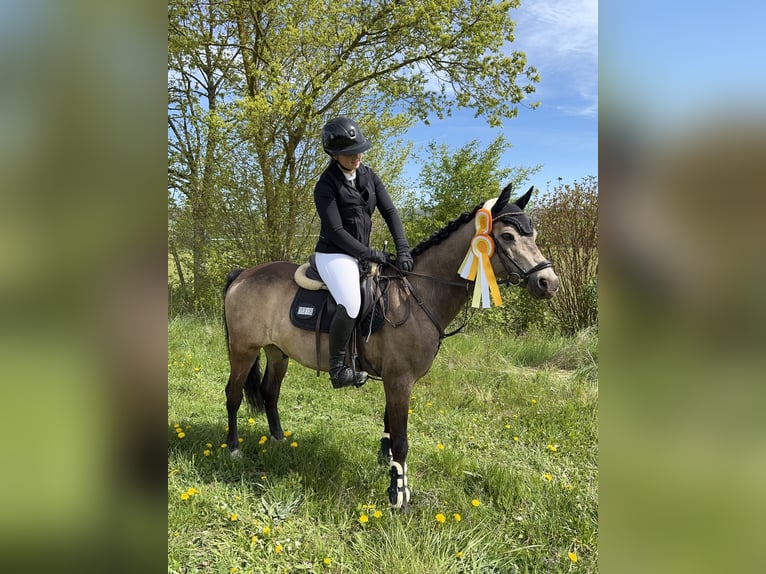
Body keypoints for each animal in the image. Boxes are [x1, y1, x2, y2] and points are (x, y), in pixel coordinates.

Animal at [222, 184, 560, 511]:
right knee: (233, 395)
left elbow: (389, 427)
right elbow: (402, 440)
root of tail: (243, 274)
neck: (417, 294)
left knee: (270, 392)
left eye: (534, 236)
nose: (549, 282)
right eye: (507, 236)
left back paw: (279, 439)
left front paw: (386, 464)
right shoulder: (399, 380)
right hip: (243, 350)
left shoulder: (395, 379)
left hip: (277, 352)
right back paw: (234, 448)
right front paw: (399, 495)